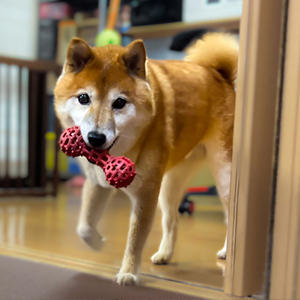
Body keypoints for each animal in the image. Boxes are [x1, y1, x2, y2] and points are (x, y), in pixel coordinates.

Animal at [53, 32, 237, 286]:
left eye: (119, 103)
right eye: (83, 98)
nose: (96, 138)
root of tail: (219, 74)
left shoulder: (146, 194)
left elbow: (135, 238)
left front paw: (128, 272)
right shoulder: (98, 183)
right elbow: (84, 226)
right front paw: (98, 242)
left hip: (224, 176)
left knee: (231, 217)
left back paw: (228, 251)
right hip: (169, 186)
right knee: (172, 220)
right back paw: (165, 254)